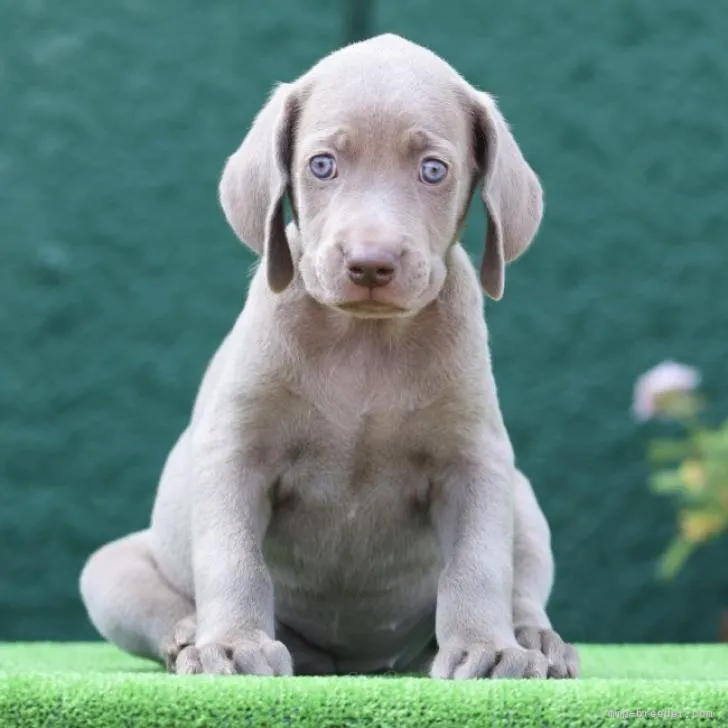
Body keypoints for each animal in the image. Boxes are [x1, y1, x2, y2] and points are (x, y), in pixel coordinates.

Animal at [79, 32, 580, 684]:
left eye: (433, 169)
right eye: (322, 165)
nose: (371, 262)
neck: (363, 344)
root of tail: (356, 662)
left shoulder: (477, 462)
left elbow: (479, 563)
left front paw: (487, 648)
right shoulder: (235, 451)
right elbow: (233, 558)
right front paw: (233, 645)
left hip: (522, 498)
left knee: (521, 583)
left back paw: (535, 639)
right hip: (110, 572)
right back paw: (191, 635)